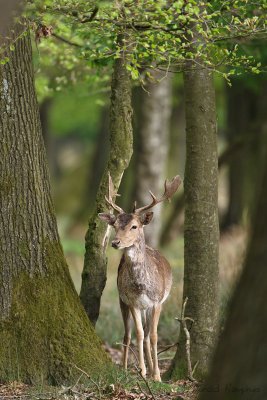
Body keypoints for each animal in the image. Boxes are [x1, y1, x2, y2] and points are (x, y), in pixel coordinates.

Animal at [99, 174, 183, 382]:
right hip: (122, 301)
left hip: (149, 306)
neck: (141, 285)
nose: (115, 242)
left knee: (147, 335)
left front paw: (157, 375)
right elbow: (138, 333)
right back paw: (125, 367)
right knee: (128, 334)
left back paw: (152, 369)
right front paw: (144, 370)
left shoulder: (157, 301)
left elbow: (153, 336)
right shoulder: (132, 301)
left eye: (134, 226)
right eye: (114, 225)